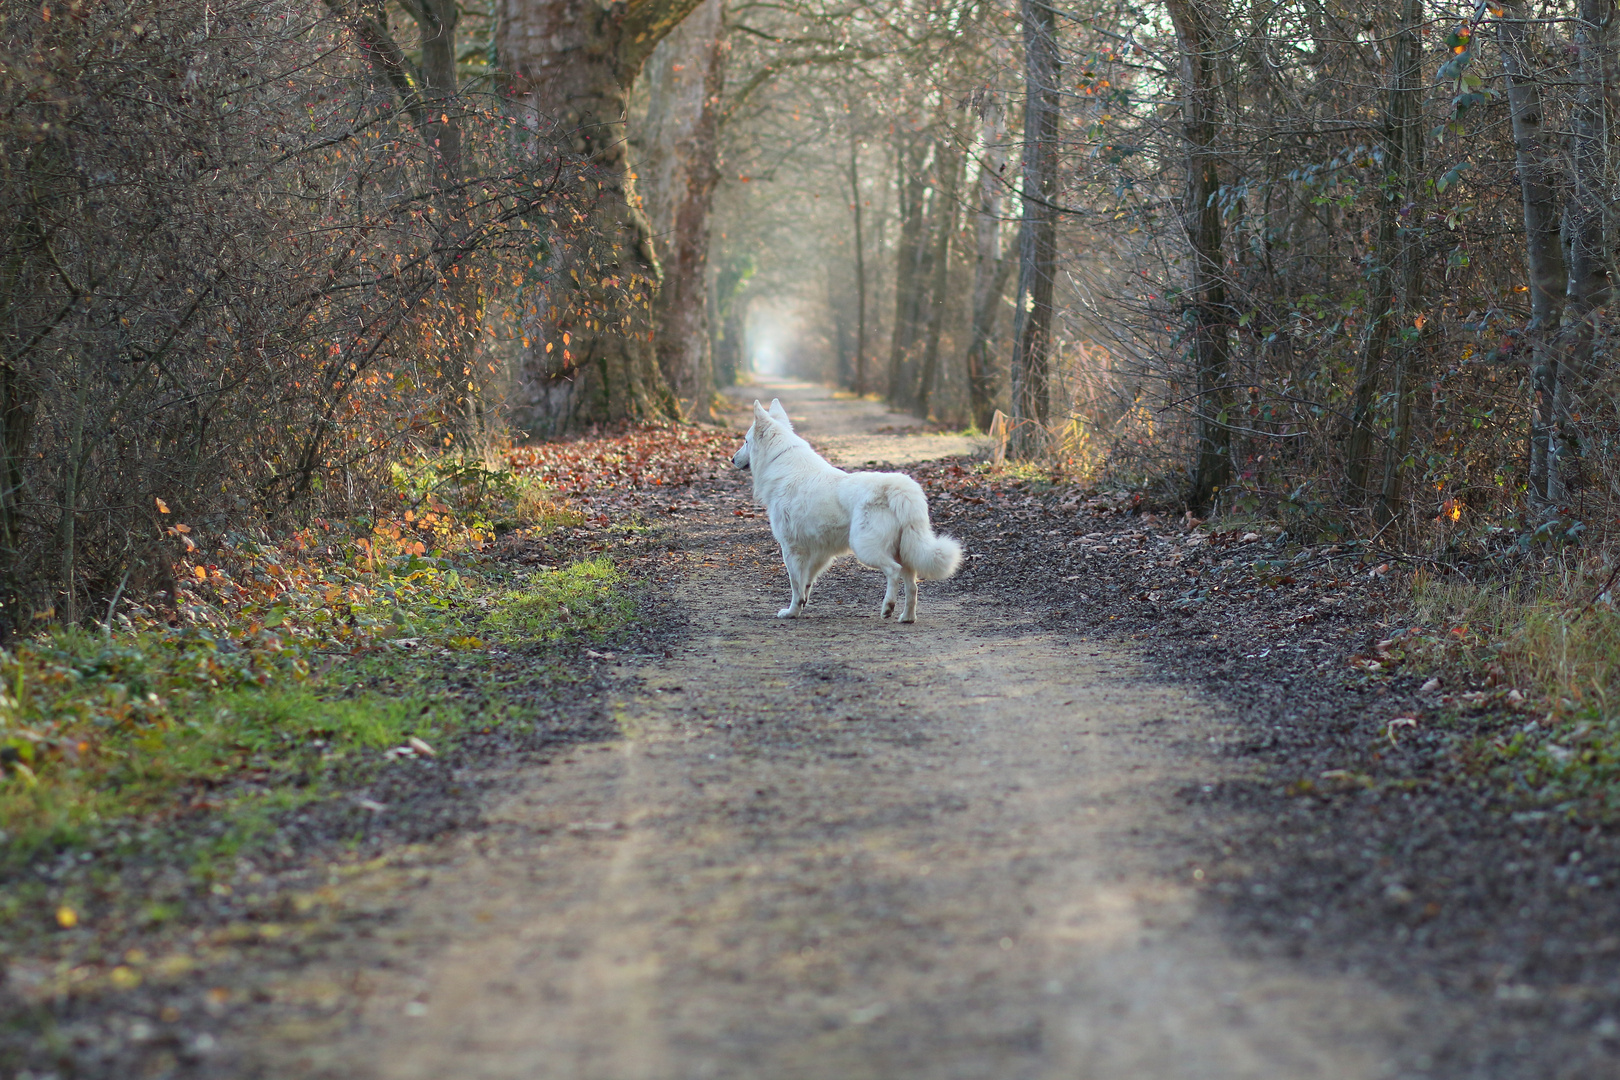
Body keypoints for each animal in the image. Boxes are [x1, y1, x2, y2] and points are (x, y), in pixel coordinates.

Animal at [735, 401, 959, 625]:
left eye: (746, 441)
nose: (732, 459)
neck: (781, 461)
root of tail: (897, 488)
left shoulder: (791, 548)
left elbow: (796, 584)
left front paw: (791, 611)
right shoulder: (819, 552)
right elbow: (807, 582)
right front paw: (801, 606)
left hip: (865, 549)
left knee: (893, 571)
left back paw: (888, 607)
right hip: (904, 550)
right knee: (912, 585)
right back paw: (907, 617)